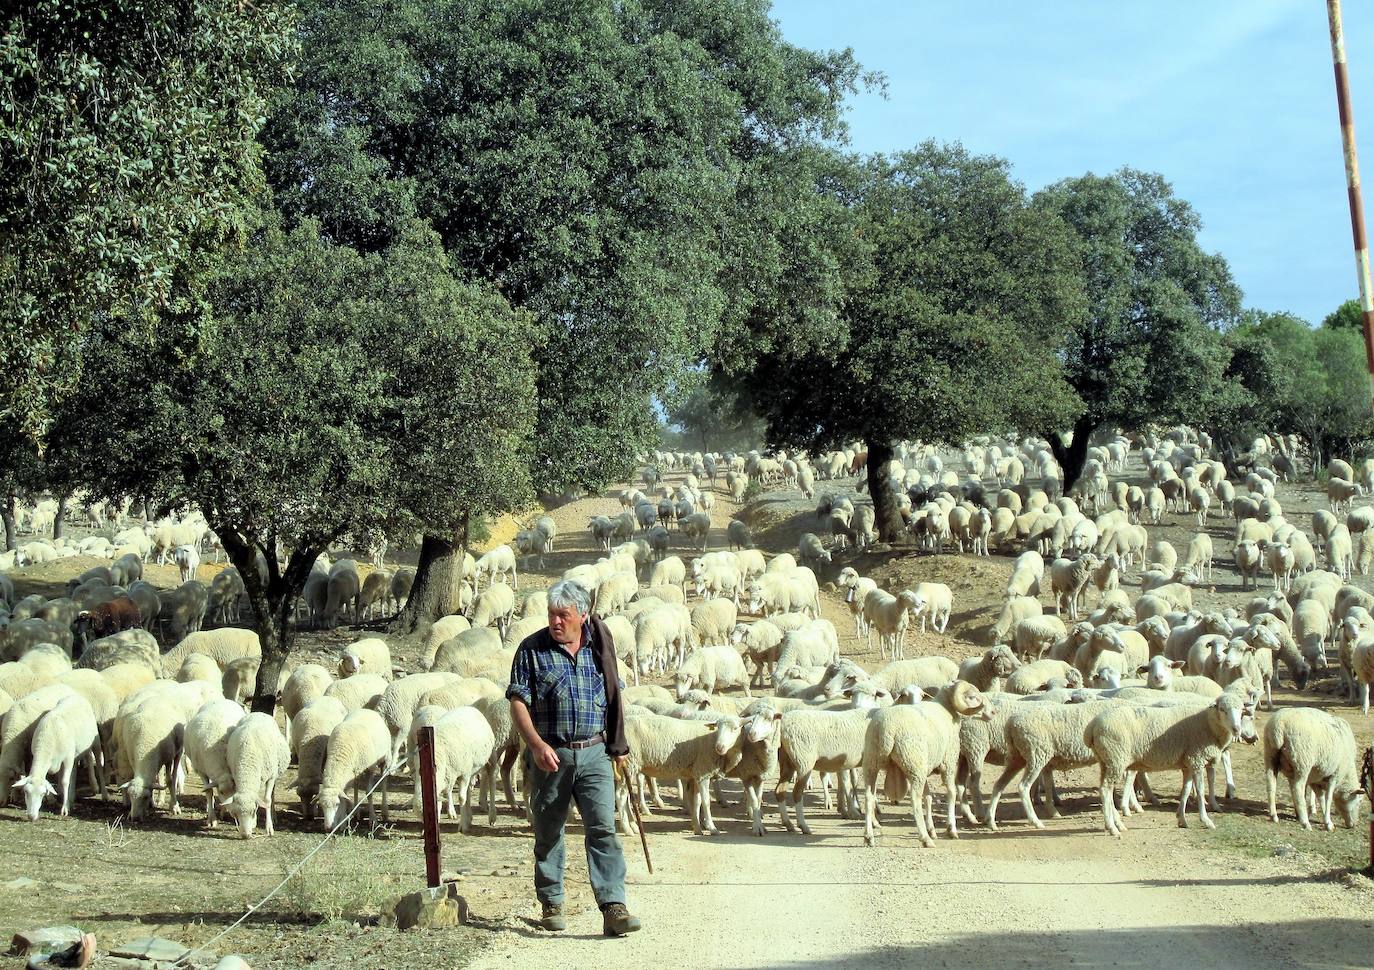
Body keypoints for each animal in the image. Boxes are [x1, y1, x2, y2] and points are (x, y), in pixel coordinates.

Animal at [184, 695, 248, 824]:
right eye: (221, 792)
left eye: (235, 790)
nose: (234, 813)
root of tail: (221, 699)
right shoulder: (201, 771)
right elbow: (209, 792)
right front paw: (212, 819)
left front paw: (223, 812)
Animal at [1082, 686, 1258, 829]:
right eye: (1222, 709)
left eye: (1241, 710)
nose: (1236, 729)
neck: (1208, 724)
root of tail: (1091, 727)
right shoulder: (1196, 759)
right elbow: (1201, 791)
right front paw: (1206, 820)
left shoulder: (1188, 763)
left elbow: (1185, 791)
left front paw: (1182, 819)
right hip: (1115, 759)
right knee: (1106, 789)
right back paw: (1112, 826)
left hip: (1106, 761)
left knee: (1105, 789)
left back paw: (1117, 822)